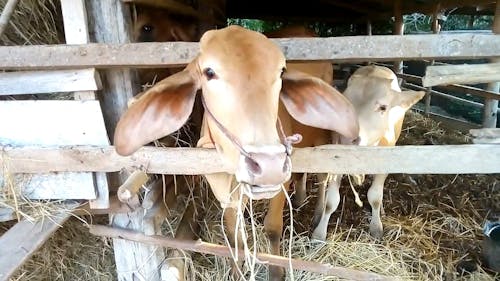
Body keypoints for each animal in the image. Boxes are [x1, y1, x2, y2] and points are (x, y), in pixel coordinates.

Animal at [114, 25, 360, 278]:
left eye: (281, 72)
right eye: (209, 72)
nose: (268, 165)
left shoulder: (279, 184)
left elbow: (273, 228)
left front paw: (276, 274)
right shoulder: (226, 196)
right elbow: (235, 237)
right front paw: (236, 272)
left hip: (321, 137)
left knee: (322, 175)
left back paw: (318, 217)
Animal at [310, 64, 424, 240]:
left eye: (383, 107)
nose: (347, 136)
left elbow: (375, 197)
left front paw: (376, 227)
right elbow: (331, 201)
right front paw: (319, 234)